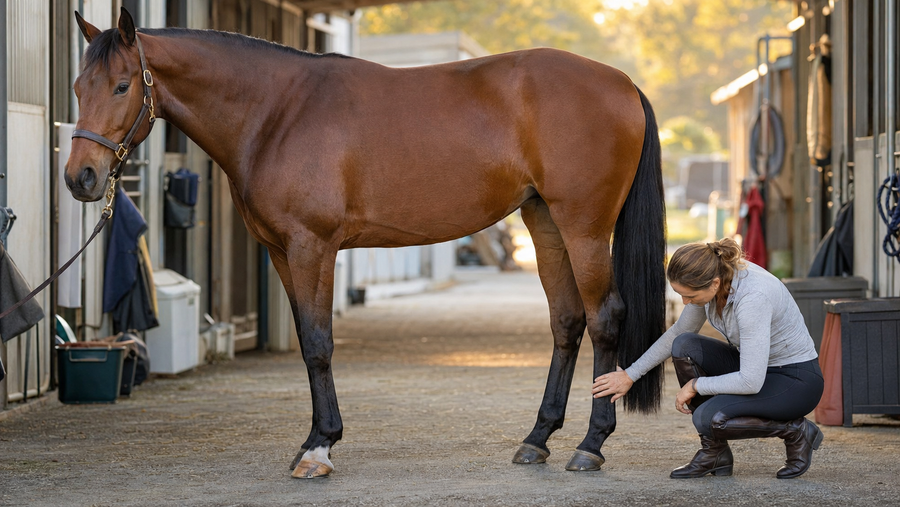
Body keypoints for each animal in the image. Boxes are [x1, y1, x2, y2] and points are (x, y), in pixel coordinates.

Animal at [66, 8, 667, 479]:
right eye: (77, 88)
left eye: (122, 85)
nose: (81, 178)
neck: (277, 112)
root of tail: (623, 83)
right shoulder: (281, 252)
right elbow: (307, 344)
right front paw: (315, 441)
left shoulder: (312, 247)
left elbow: (318, 343)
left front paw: (319, 448)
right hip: (545, 222)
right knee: (567, 321)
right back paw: (537, 439)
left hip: (584, 226)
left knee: (605, 317)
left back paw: (590, 445)